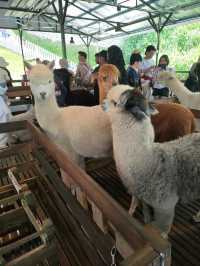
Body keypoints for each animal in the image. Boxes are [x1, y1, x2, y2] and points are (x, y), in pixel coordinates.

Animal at [103, 84, 200, 234]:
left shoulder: (166, 206)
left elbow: (162, 230)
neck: (148, 160)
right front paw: (131, 214)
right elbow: (137, 203)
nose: (102, 104)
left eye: (114, 102)